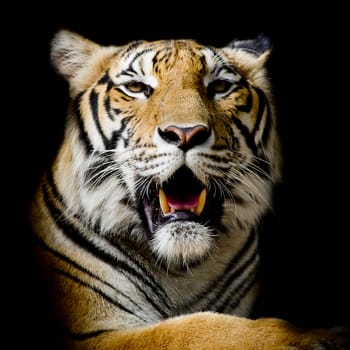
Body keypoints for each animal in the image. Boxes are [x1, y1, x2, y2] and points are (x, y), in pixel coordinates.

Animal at [28, 28, 350, 348]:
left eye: (219, 86)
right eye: (136, 87)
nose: (185, 133)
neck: (181, 270)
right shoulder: (93, 334)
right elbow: (199, 328)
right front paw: (309, 336)